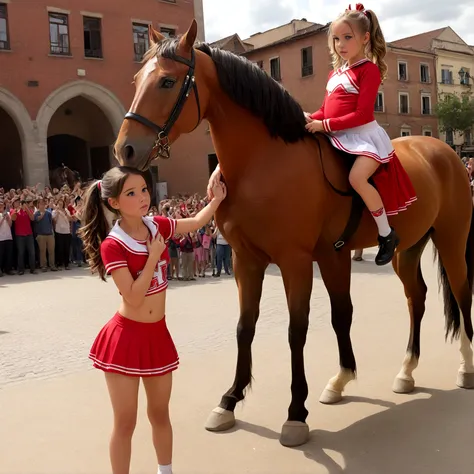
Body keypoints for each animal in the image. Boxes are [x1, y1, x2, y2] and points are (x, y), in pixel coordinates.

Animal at [112, 22, 474, 448]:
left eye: (167, 81)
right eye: (138, 79)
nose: (125, 149)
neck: (264, 162)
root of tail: (444, 151)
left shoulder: (296, 261)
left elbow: (297, 330)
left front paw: (296, 412)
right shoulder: (251, 260)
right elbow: (252, 326)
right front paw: (232, 399)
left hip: (451, 239)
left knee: (462, 293)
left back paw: (466, 366)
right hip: (408, 249)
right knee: (416, 298)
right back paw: (406, 370)